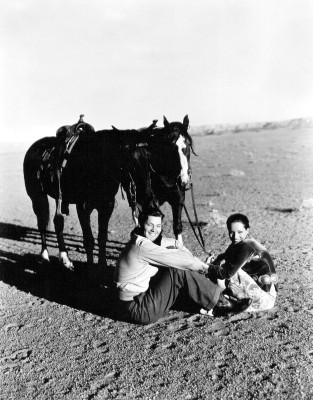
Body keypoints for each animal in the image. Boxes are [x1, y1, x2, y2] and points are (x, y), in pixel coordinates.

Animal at [120, 114, 195, 242]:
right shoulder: (149, 202)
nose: (184, 181)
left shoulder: (178, 199)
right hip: (132, 194)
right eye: (171, 147)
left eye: (188, 145)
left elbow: (177, 226)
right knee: (136, 216)